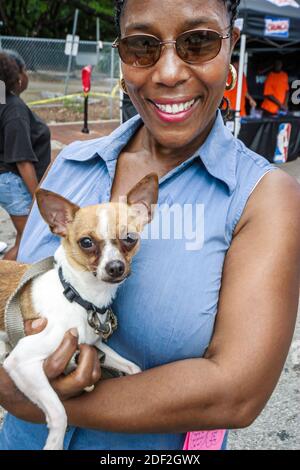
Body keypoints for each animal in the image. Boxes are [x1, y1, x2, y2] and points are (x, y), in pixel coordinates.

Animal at [0, 172, 159, 448]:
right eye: (86, 242)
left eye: (130, 238)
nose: (115, 267)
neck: (80, 298)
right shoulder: (22, 361)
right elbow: (58, 412)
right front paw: (54, 443)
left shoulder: (95, 345)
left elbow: (131, 367)